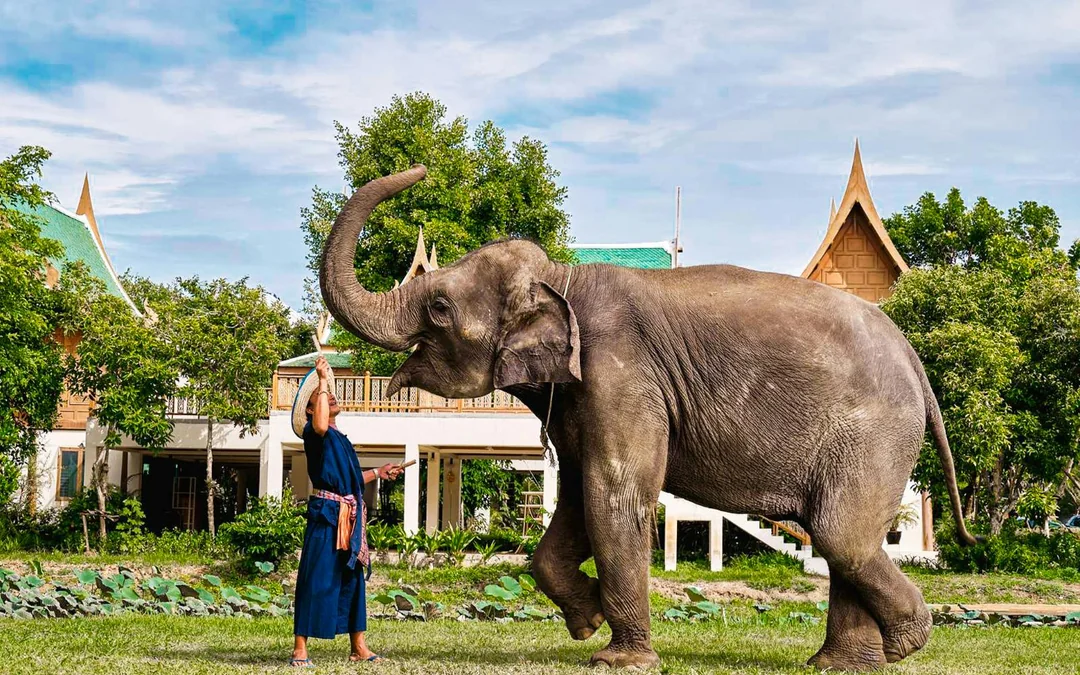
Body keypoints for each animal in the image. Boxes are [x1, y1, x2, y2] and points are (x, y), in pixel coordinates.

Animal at [319, 165, 978, 671]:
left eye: (437, 307)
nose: (423, 173)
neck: (562, 278)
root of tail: (914, 357)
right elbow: (579, 496)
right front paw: (586, 621)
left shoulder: (621, 373)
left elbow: (615, 493)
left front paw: (616, 660)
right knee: (842, 536)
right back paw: (840, 664)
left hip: (873, 432)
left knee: (842, 535)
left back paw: (904, 643)